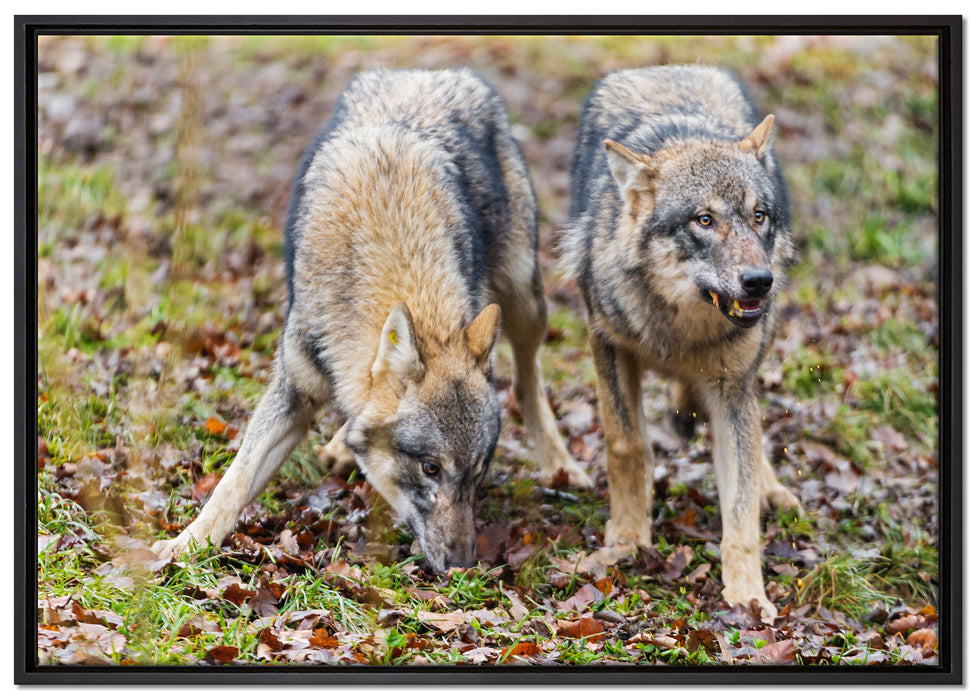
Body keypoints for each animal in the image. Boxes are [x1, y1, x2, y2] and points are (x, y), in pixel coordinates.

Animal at [152, 68, 590, 572]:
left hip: (524, 300)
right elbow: (236, 480)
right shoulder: (293, 390)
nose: (464, 565)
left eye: (478, 474)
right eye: (431, 468)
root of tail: (429, 72)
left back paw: (561, 464)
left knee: (527, 379)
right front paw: (184, 545)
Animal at [561, 65, 800, 616]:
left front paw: (747, 596)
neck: (680, 333)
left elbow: (741, 502)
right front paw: (628, 539)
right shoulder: (606, 344)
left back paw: (771, 487)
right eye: (704, 220)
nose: (759, 281)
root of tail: (665, 67)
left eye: (758, 216)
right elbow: (627, 446)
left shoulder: (733, 386)